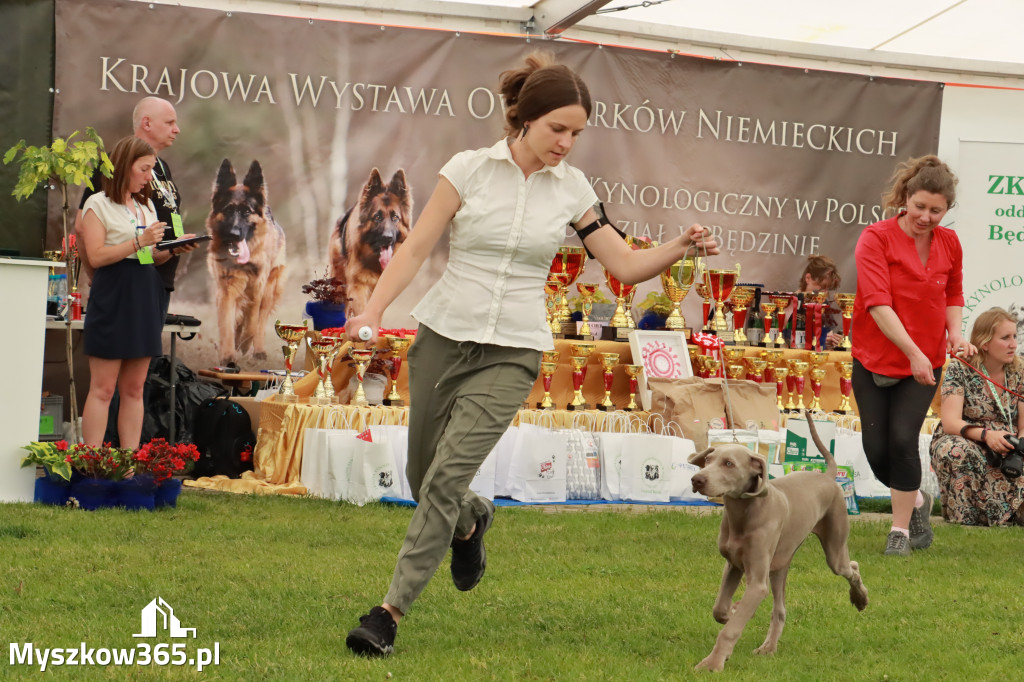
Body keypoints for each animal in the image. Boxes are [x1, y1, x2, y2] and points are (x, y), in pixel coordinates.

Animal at [688, 409, 864, 667]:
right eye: (709, 461)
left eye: (729, 464)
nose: (697, 480)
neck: (745, 512)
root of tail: (828, 476)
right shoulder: (733, 566)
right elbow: (719, 609)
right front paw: (734, 610)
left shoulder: (757, 583)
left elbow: (730, 628)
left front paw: (713, 663)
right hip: (780, 563)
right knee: (780, 609)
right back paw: (769, 647)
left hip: (834, 548)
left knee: (851, 566)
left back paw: (860, 598)